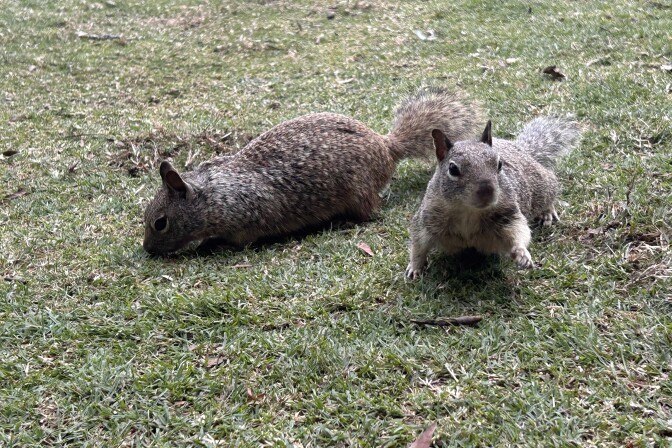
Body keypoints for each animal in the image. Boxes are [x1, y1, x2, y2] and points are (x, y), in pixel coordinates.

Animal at [143, 88, 484, 255]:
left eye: (160, 223)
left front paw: (210, 244)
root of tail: (386, 147)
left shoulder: (248, 219)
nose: (147, 250)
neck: (214, 195)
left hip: (357, 192)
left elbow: (239, 240)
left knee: (371, 211)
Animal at [405, 117, 581, 278]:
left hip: (541, 184)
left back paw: (547, 212)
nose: (487, 191)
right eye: (453, 169)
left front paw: (521, 253)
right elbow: (418, 244)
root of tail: (519, 149)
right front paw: (415, 266)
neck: (468, 211)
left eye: (500, 164)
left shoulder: (509, 214)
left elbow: (519, 231)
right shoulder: (427, 217)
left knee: (550, 193)